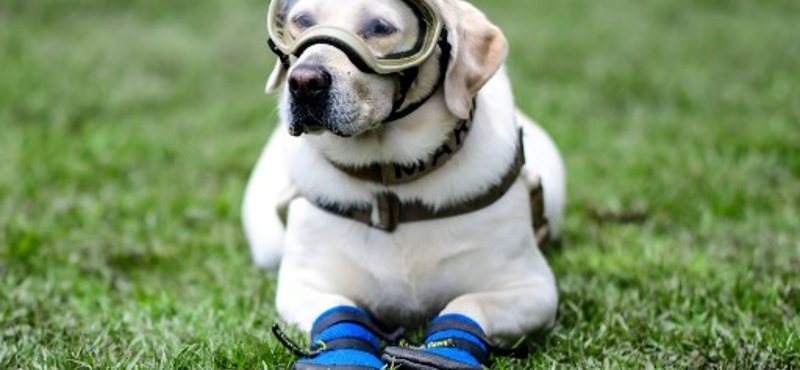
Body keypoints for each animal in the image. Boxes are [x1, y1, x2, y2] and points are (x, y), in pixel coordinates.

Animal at [242, 0, 564, 366]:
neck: (391, 183)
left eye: (380, 28)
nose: (304, 82)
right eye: (301, 21)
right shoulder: (304, 284)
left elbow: (467, 303)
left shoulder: (532, 289)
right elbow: (341, 311)